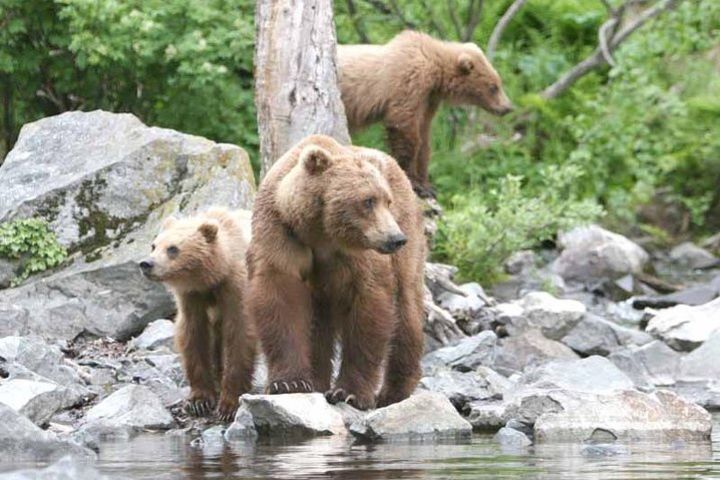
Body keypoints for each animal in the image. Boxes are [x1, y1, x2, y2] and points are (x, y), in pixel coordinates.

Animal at [249, 134, 428, 408]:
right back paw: (317, 381)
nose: (396, 239)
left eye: (387, 201)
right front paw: (289, 383)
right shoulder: (281, 232)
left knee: (406, 310)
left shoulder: (359, 255)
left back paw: (394, 391)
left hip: (408, 245)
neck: (319, 231)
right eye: (368, 200)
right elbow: (281, 295)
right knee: (317, 326)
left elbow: (369, 306)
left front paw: (349, 392)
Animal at [338, 30, 512, 197]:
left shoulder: (428, 100)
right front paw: (413, 181)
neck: (436, 74)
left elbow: (423, 136)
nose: (507, 107)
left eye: (499, 83)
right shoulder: (410, 83)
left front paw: (428, 185)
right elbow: (404, 128)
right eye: (493, 87)